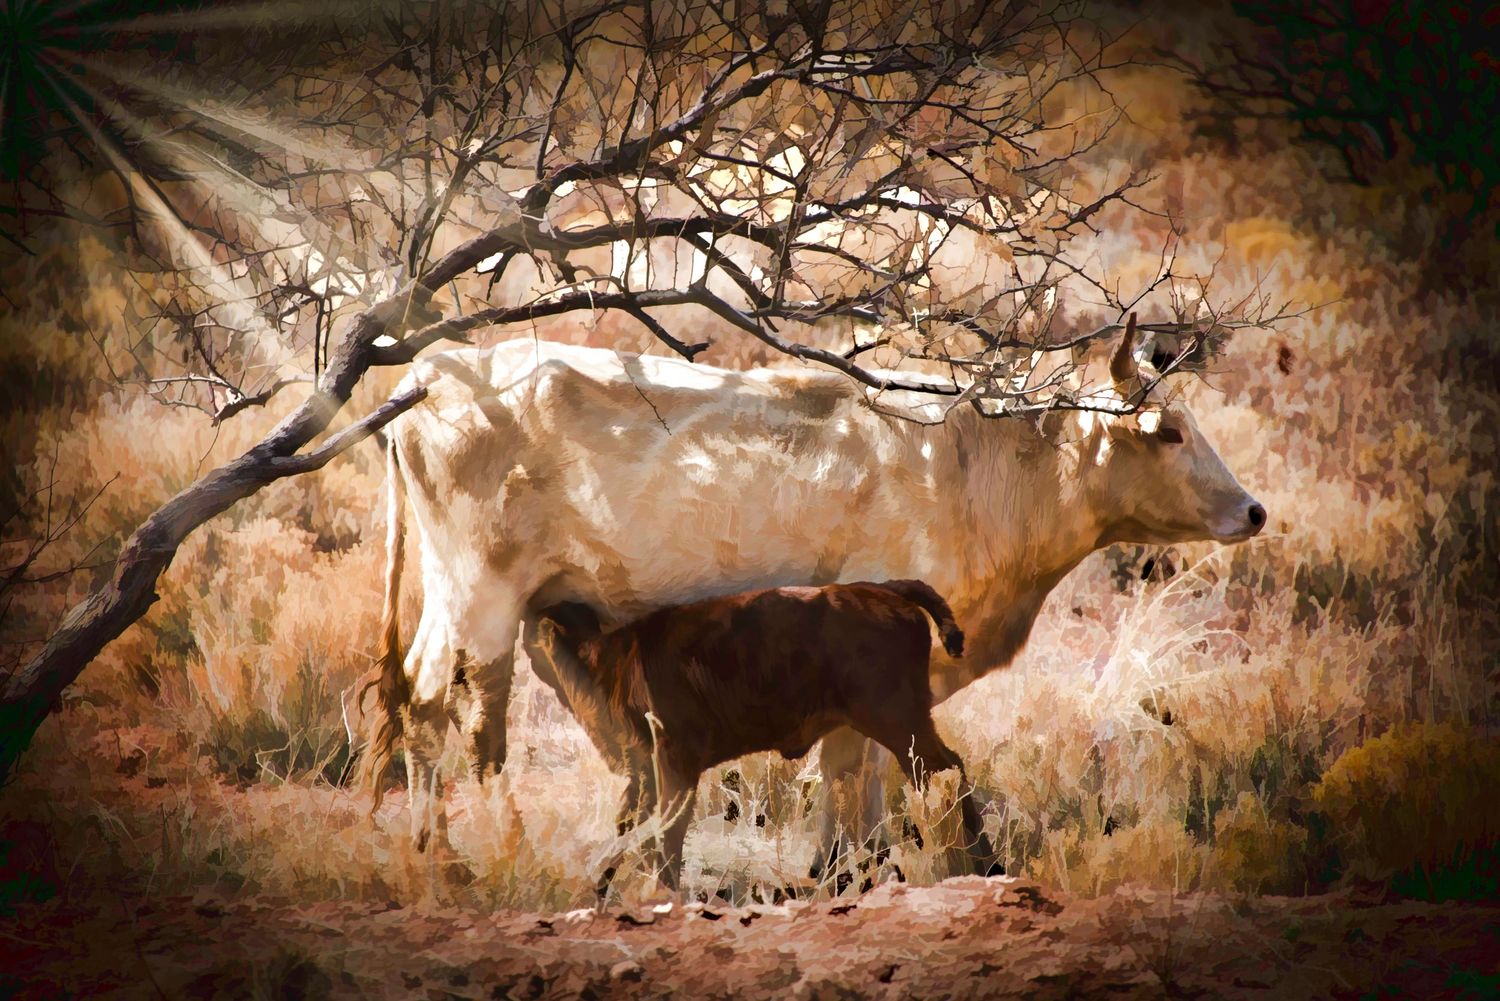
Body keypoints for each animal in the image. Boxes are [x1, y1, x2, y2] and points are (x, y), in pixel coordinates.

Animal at [361, 316, 1267, 857]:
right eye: (1169, 430)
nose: (1253, 509)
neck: (973, 461)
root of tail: (444, 366)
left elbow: (859, 769)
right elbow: (854, 767)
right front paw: (851, 866)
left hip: (458, 596)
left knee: (418, 699)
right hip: (479, 598)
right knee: (454, 712)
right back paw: (477, 852)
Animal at [530, 579, 995, 893]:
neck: (611, 657)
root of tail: (880, 590)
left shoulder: (674, 764)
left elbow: (667, 836)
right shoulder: (643, 772)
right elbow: (628, 829)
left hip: (900, 724)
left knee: (944, 771)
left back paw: (981, 865)